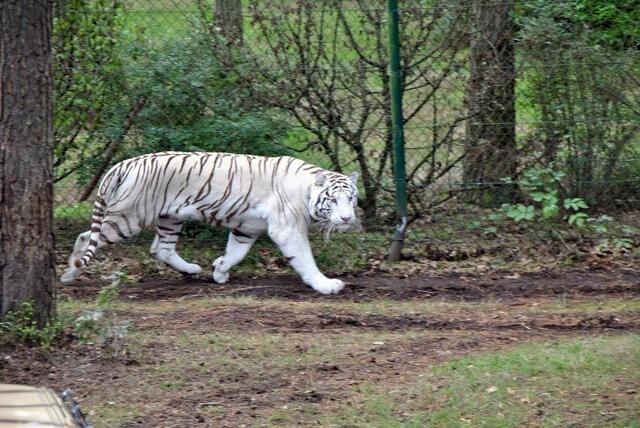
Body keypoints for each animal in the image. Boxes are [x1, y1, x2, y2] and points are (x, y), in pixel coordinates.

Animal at [60, 151, 359, 294]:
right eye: (333, 200)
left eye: (351, 198)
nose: (347, 218)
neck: (307, 190)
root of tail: (124, 163)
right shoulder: (287, 229)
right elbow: (306, 260)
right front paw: (326, 285)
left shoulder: (246, 227)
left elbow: (236, 253)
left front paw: (219, 270)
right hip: (129, 217)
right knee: (86, 237)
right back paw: (68, 273)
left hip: (170, 217)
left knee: (161, 249)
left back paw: (192, 269)